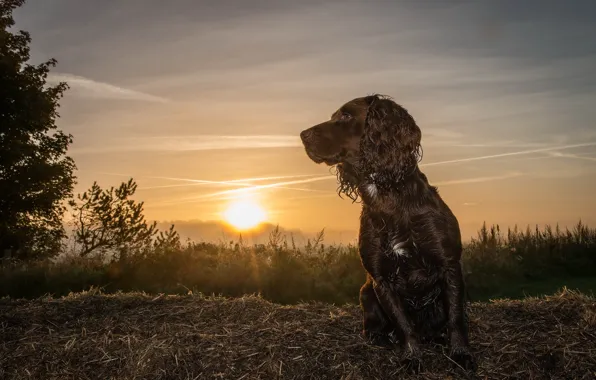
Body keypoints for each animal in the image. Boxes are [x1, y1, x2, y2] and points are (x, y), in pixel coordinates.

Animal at [300, 93, 478, 372]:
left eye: (346, 115)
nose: (302, 135)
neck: (387, 195)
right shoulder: (380, 278)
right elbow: (403, 324)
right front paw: (412, 357)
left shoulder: (449, 265)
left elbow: (456, 318)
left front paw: (461, 354)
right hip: (365, 292)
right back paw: (380, 338)